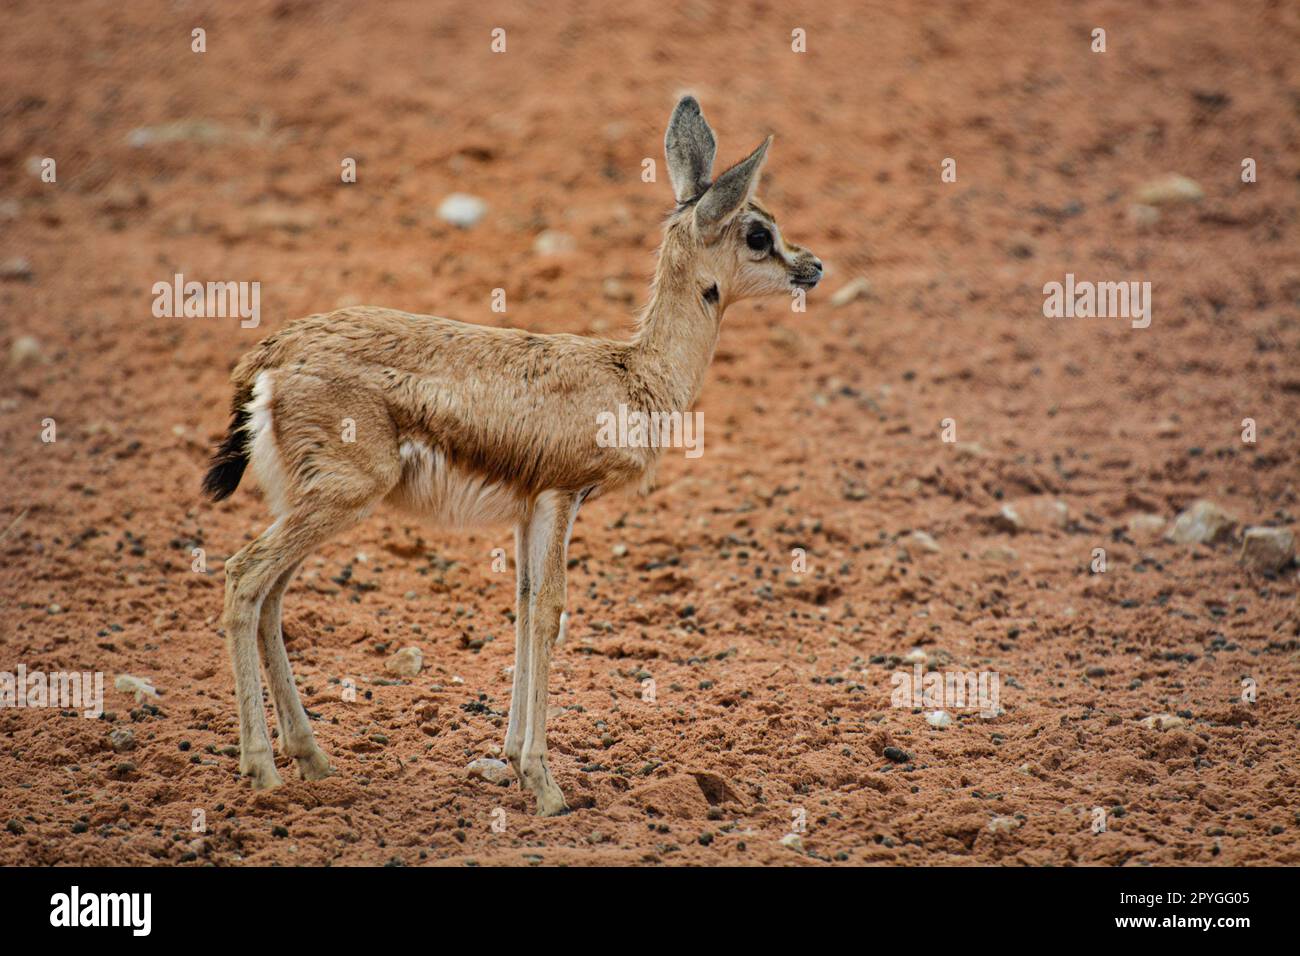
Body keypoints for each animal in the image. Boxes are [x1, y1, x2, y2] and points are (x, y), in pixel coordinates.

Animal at [202, 96, 822, 815]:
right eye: (758, 233)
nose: (813, 266)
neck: (635, 375)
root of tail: (270, 355)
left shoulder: (529, 510)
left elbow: (524, 609)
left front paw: (512, 761)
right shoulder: (560, 495)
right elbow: (550, 613)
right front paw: (546, 786)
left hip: (308, 502)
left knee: (271, 596)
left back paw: (313, 759)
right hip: (340, 497)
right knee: (244, 576)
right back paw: (263, 771)